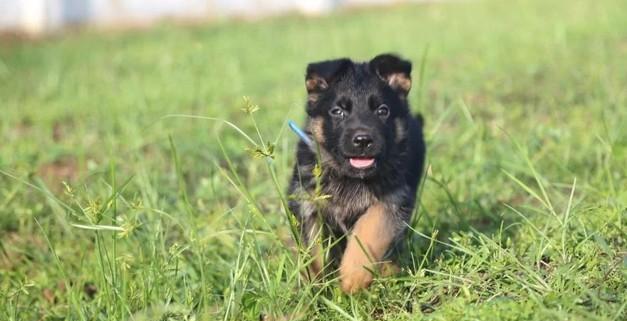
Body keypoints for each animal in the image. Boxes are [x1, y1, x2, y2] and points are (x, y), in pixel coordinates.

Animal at [286, 53, 424, 292]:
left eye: (382, 111)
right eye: (337, 111)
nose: (362, 140)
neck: (350, 177)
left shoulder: (393, 201)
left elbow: (369, 230)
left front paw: (353, 277)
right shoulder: (307, 205)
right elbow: (313, 251)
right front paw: (315, 287)